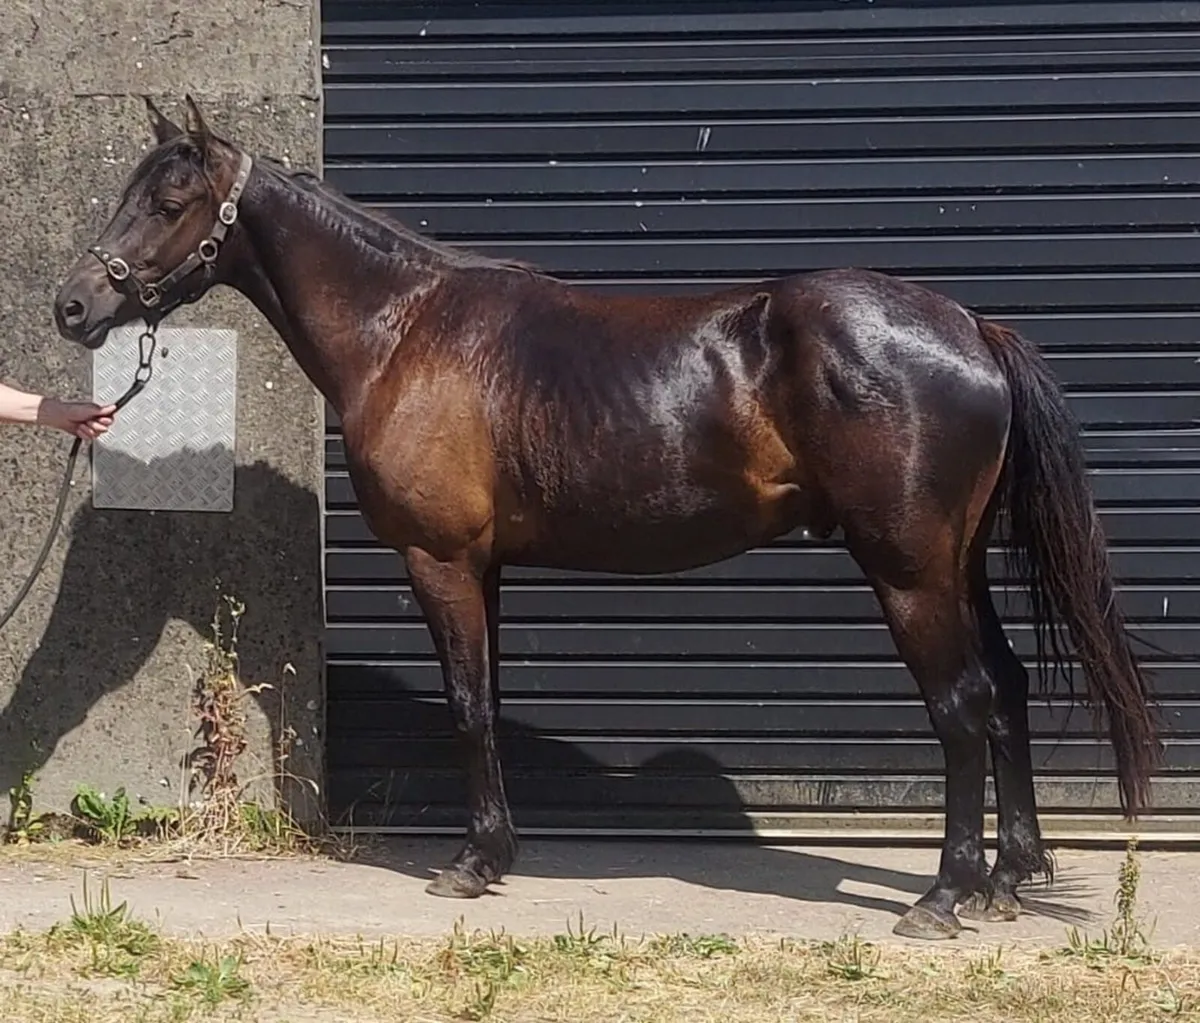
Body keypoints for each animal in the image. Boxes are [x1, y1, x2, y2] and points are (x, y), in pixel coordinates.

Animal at [51, 96, 1160, 941]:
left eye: (171, 199)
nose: (73, 306)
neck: (404, 328)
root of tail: (970, 327)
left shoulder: (440, 559)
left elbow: (465, 706)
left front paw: (470, 864)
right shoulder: (487, 565)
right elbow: (486, 701)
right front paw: (496, 851)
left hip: (909, 569)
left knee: (962, 706)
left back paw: (944, 893)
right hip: (956, 562)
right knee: (1007, 689)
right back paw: (1010, 878)